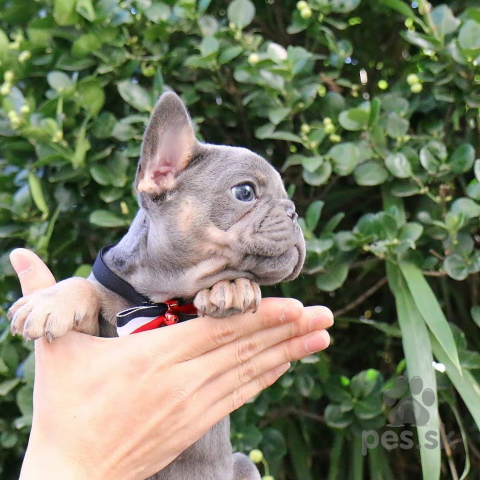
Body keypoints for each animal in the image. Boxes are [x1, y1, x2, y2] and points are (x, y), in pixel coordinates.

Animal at [7, 92, 306, 478]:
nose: (294, 211)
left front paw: (233, 287)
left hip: (242, 464)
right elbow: (84, 285)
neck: (163, 299)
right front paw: (53, 300)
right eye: (245, 192)